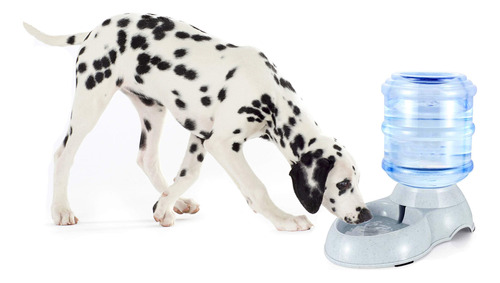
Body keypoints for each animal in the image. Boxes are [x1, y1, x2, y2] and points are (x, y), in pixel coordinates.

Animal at [25, 12, 374, 232]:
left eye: (356, 181)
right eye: (343, 184)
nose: (366, 214)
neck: (270, 95)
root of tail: (98, 28)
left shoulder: (202, 135)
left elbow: (189, 174)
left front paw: (165, 206)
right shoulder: (223, 143)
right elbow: (256, 186)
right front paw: (284, 219)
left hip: (153, 110)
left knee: (146, 158)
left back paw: (178, 204)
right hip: (91, 100)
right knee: (63, 154)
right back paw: (61, 210)